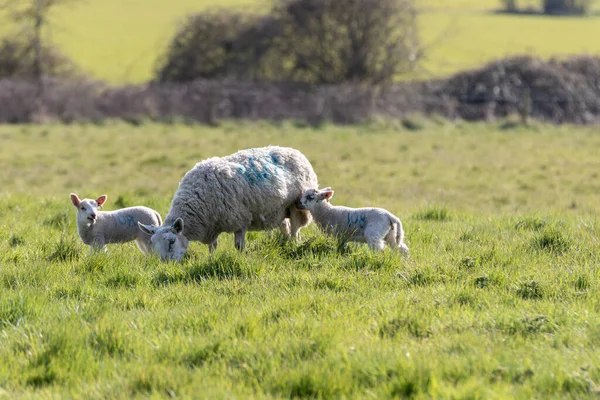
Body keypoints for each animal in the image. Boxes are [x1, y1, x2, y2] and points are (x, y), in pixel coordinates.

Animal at [138, 145, 318, 260]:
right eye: (152, 243)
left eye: (172, 241)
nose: (164, 265)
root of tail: (293, 151)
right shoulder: (211, 224)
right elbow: (213, 246)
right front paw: (211, 260)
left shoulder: (240, 221)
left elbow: (239, 246)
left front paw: (240, 259)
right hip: (279, 210)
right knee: (285, 228)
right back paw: (286, 244)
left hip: (296, 207)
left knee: (295, 231)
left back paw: (294, 246)